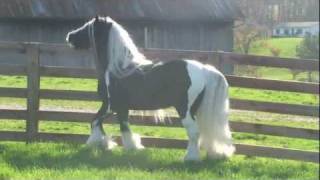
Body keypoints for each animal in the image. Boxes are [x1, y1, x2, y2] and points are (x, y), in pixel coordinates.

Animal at [65, 16, 235, 161]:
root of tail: (204, 69)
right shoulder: (122, 108)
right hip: (195, 109)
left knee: (193, 132)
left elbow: (95, 121)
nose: (69, 36)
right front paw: (126, 147)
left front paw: (99, 144)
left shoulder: (110, 105)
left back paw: (190, 158)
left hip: (184, 109)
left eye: (88, 28)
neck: (117, 69)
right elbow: (123, 127)